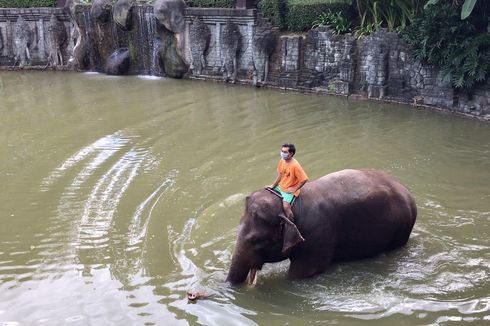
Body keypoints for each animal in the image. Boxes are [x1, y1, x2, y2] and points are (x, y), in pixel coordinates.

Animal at [227, 169, 418, 284]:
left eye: (257, 240)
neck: (289, 206)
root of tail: (408, 192)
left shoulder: (316, 236)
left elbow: (300, 275)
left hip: (401, 230)